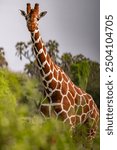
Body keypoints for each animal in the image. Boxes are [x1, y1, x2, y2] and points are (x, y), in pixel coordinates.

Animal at [20, 3, 98, 139]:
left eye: (38, 18)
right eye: (26, 17)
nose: (31, 26)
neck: (51, 87)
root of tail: (96, 108)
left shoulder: (68, 125)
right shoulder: (46, 123)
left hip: (90, 132)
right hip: (80, 133)